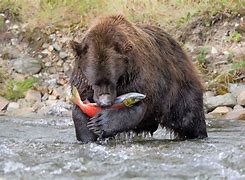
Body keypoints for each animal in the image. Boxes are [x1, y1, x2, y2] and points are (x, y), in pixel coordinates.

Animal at [70, 14, 208, 143]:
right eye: (95, 82)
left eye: (112, 80)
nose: (105, 102)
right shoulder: (82, 81)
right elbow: (79, 111)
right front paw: (89, 133)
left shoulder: (139, 76)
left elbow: (139, 107)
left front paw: (101, 122)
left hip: (179, 89)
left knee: (190, 117)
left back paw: (199, 135)